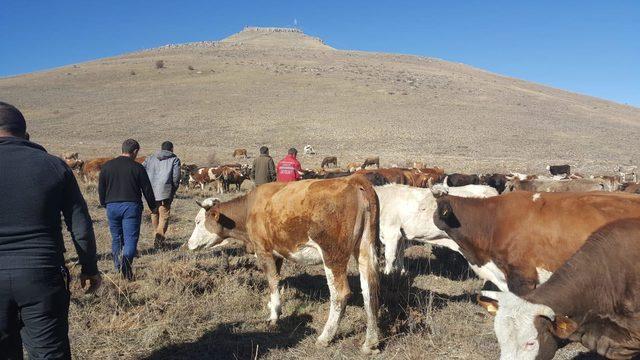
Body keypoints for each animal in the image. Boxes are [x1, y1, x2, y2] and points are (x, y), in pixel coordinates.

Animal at [186, 176, 380, 352]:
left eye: (198, 221)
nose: (188, 244)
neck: (249, 209)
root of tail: (351, 180)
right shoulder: (276, 253)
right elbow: (277, 281)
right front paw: (275, 308)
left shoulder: (263, 251)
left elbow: (272, 282)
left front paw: (273, 317)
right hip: (364, 251)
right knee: (369, 290)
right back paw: (371, 342)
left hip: (333, 256)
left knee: (340, 294)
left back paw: (325, 337)